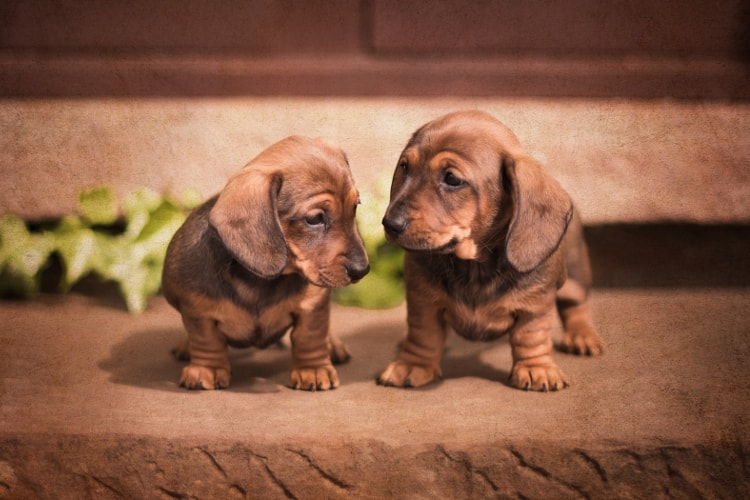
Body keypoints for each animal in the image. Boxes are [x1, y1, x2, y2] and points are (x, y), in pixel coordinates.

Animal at [164, 136, 370, 390]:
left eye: (355, 207)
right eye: (314, 219)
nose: (363, 270)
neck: (260, 281)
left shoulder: (313, 305)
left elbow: (311, 336)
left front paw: (312, 369)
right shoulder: (197, 310)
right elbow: (206, 340)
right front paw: (207, 369)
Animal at [382, 111, 604, 392]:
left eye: (452, 179)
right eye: (405, 167)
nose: (389, 223)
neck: (473, 265)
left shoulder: (535, 305)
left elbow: (531, 337)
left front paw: (536, 368)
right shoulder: (423, 301)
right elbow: (424, 335)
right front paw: (412, 364)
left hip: (575, 275)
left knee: (577, 305)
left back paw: (582, 335)